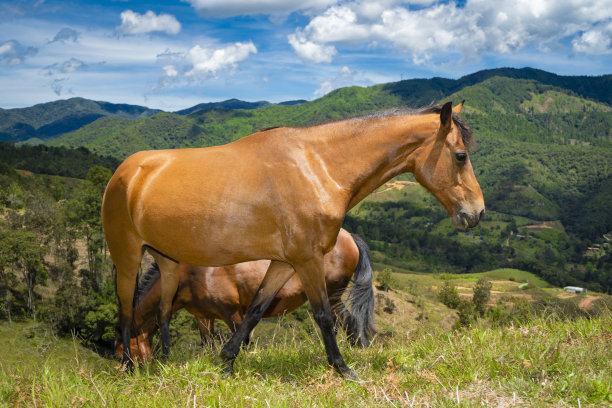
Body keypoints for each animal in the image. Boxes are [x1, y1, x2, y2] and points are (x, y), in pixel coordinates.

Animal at [114, 230, 372, 360]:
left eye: (119, 356)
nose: (127, 375)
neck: (190, 272)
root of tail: (349, 236)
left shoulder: (233, 313)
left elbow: (244, 342)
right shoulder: (203, 317)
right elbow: (207, 345)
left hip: (332, 295)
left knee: (349, 320)